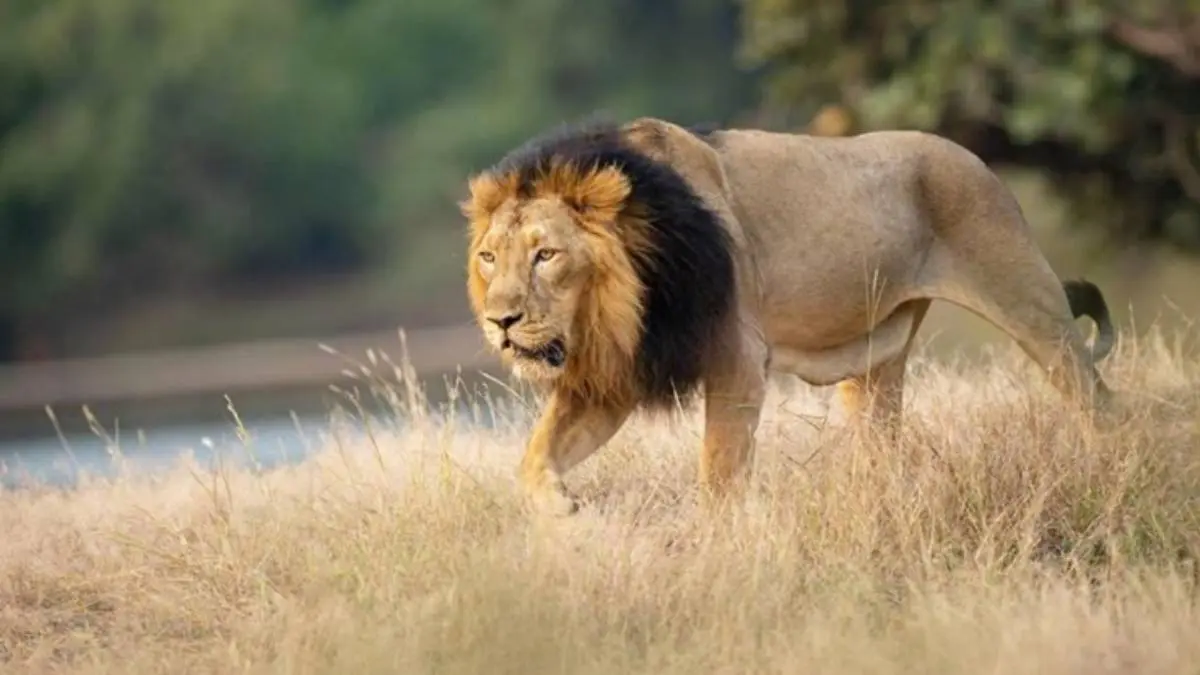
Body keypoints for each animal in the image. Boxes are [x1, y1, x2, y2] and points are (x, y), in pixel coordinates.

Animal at [460, 116, 1116, 516]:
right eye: (490, 258)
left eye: (546, 255)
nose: (501, 322)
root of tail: (975, 159)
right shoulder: (615, 377)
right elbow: (534, 456)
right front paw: (562, 512)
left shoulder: (737, 362)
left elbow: (719, 473)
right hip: (876, 363)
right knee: (883, 443)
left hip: (1029, 301)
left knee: (1098, 399)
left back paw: (1111, 467)